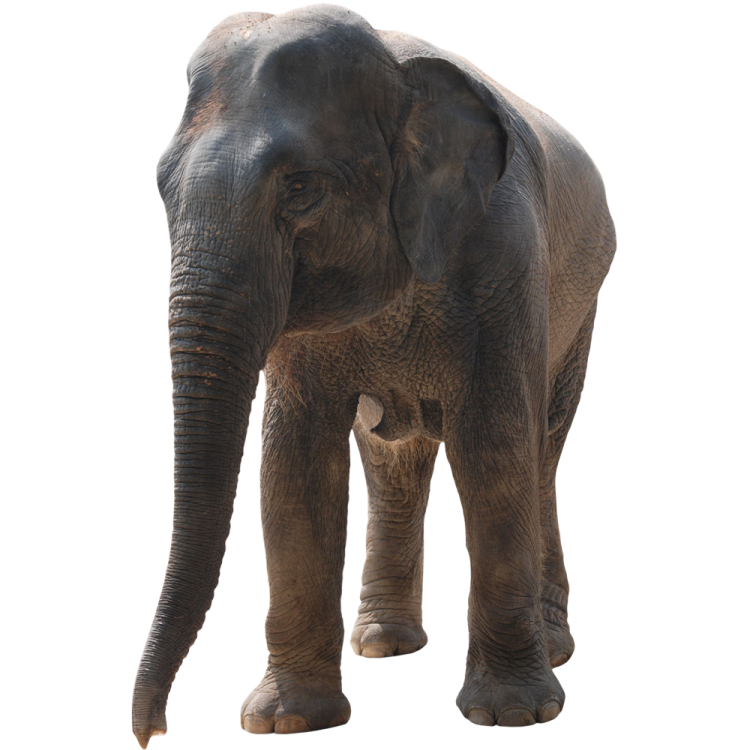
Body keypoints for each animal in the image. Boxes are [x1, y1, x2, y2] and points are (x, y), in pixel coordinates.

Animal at [132, 4, 617, 744]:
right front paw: (285, 720)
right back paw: (385, 644)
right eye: (162, 188)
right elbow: (295, 463)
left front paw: (513, 715)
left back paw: (552, 648)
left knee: (540, 453)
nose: (151, 731)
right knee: (395, 457)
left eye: (301, 187)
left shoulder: (502, 257)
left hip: (579, 310)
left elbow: (494, 445)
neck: (397, 73)